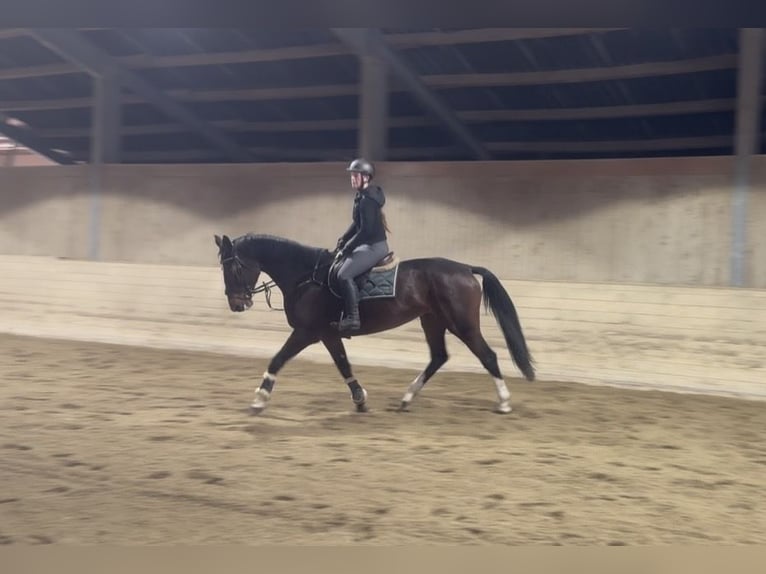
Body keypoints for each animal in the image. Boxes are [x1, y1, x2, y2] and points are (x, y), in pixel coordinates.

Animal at [214, 233, 535, 415]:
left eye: (233, 267)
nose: (237, 304)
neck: (306, 277)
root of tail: (465, 268)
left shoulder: (306, 332)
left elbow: (277, 360)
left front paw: (259, 399)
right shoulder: (327, 334)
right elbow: (343, 364)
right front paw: (359, 399)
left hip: (462, 324)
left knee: (487, 356)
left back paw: (504, 402)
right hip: (433, 321)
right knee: (438, 357)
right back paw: (406, 398)